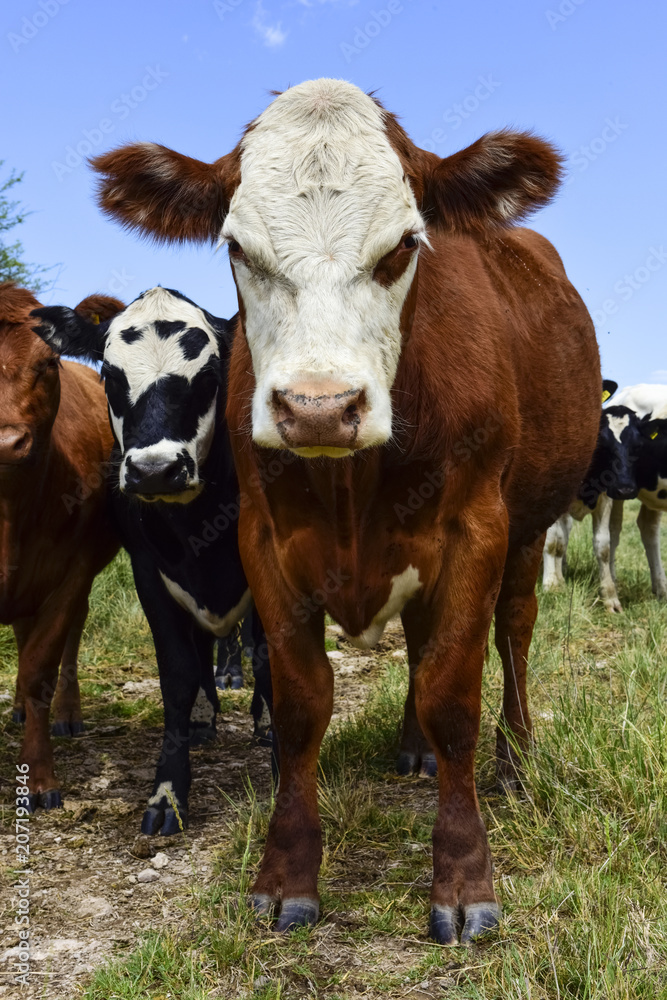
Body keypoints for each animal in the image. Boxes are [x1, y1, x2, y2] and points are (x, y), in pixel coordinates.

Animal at [32, 288, 272, 836]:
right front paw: (167, 793)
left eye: (210, 376)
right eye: (109, 375)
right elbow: (178, 676)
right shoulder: (150, 575)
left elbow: (269, 662)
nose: (155, 470)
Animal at [86, 80, 604, 944]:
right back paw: (412, 750)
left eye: (403, 245)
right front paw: (285, 874)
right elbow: (301, 705)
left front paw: (462, 879)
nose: (318, 408)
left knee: (513, 636)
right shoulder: (264, 542)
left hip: (530, 530)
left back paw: (513, 761)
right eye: (238, 250)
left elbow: (454, 697)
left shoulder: (476, 529)